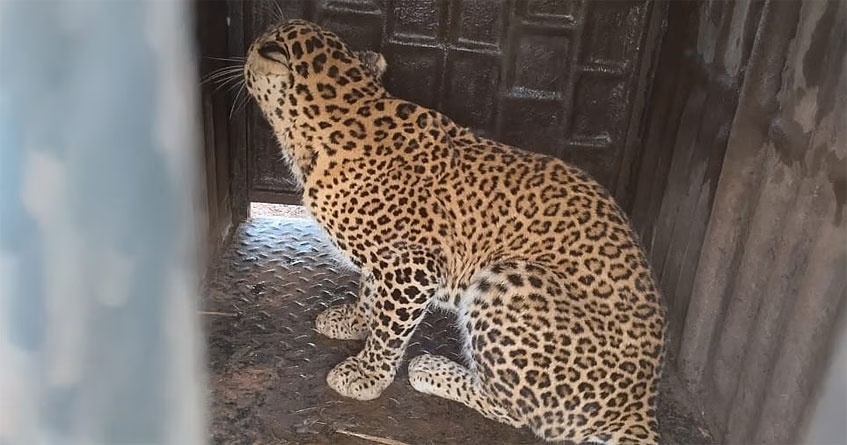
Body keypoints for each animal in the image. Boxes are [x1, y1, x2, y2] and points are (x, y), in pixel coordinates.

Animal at [243, 19, 666, 444]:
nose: (246, 52)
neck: (349, 106)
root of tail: (640, 405)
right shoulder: (388, 260)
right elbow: (370, 289)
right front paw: (355, 320)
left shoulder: (414, 266)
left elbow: (389, 329)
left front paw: (367, 373)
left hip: (507, 283)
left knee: (516, 411)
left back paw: (429, 370)